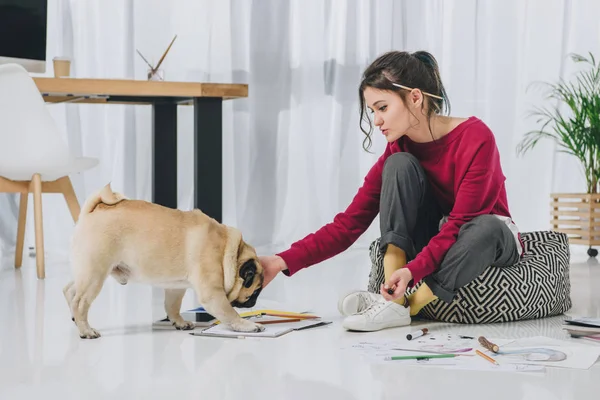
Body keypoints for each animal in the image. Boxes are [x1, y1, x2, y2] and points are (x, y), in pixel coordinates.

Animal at [62, 184, 264, 338]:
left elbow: (172, 306)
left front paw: (179, 322)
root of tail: (94, 210)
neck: (228, 251)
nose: (253, 303)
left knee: (70, 290)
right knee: (80, 301)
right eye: (254, 292)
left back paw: (74, 319)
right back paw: (86, 330)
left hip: (87, 271)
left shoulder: (176, 288)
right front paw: (248, 325)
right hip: (95, 273)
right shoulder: (213, 293)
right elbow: (229, 312)